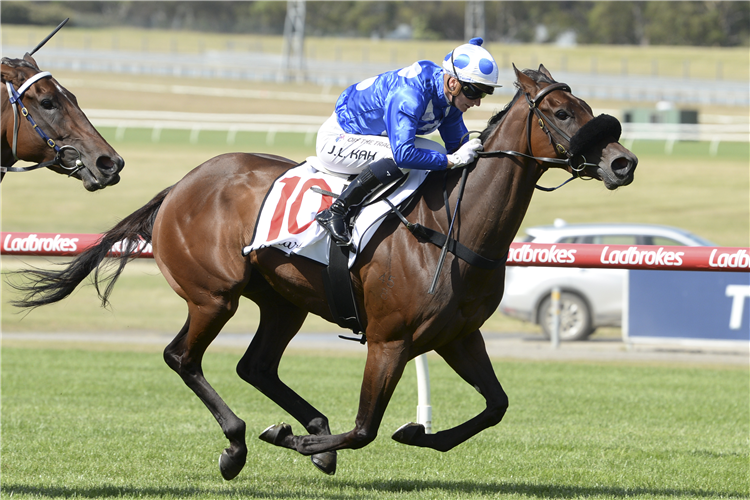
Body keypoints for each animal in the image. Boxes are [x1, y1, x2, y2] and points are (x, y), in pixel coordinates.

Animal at [10, 64, 636, 478]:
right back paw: (241, 444)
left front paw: (417, 433)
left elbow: (495, 407)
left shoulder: (458, 335)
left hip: (282, 300)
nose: (623, 162)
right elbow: (364, 428)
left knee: (256, 365)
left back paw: (305, 427)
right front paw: (296, 439)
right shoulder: (389, 339)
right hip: (214, 296)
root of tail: (183, 184)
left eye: (586, 108)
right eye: (562, 113)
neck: (453, 227)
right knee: (182, 357)